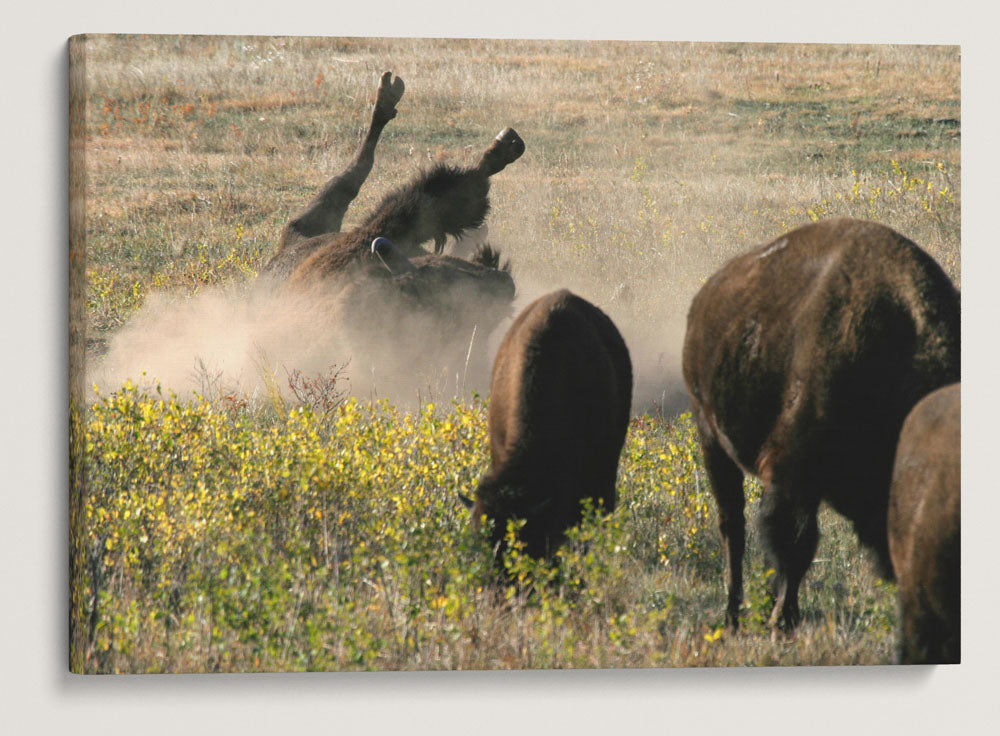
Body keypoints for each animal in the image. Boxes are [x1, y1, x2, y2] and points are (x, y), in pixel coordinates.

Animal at [680, 216, 960, 628]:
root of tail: (705, 298)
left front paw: (782, 615)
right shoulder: (795, 473)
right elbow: (795, 545)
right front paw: (782, 621)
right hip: (711, 439)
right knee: (733, 526)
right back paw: (732, 615)